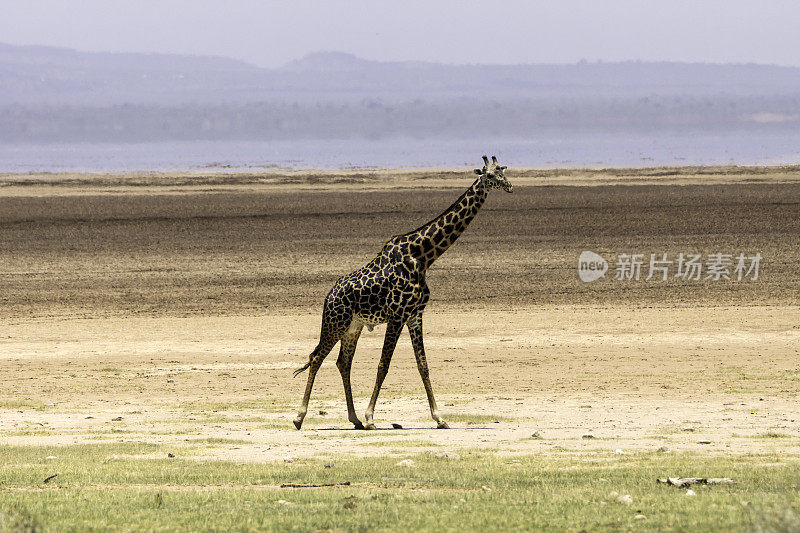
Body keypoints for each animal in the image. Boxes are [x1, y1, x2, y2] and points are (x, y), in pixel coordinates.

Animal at [294, 154, 512, 428]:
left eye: (503, 171)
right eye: (490, 175)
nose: (509, 186)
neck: (423, 256)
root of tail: (328, 297)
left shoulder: (415, 314)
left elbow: (423, 365)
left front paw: (439, 417)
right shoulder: (397, 315)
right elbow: (383, 365)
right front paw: (371, 417)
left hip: (353, 327)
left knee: (343, 362)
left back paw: (353, 418)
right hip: (336, 322)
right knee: (316, 358)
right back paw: (300, 417)